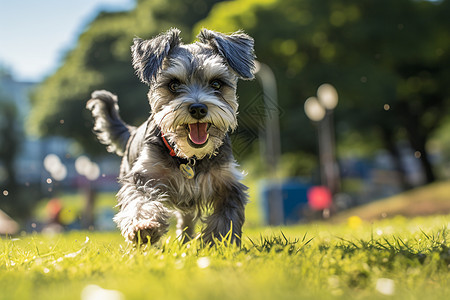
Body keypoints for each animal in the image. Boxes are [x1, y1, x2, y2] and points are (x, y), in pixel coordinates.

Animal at [86, 28, 255, 245]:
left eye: (216, 83)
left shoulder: (228, 183)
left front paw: (221, 243)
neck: (189, 157)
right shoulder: (142, 178)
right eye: (173, 85)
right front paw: (144, 226)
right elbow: (140, 201)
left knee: (186, 219)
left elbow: (227, 217)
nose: (198, 108)